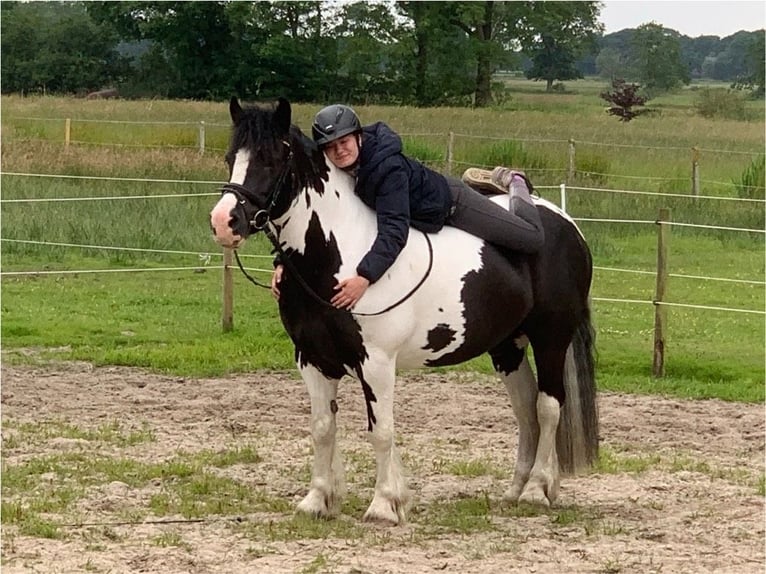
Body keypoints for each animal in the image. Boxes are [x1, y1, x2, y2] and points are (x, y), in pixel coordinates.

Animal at [210, 98, 600, 528]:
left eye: (271, 159)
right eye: (231, 157)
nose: (224, 222)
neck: (346, 253)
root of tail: (566, 225)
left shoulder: (377, 362)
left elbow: (380, 431)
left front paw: (384, 504)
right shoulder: (312, 359)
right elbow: (323, 428)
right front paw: (318, 499)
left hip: (551, 339)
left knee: (548, 407)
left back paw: (537, 490)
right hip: (507, 346)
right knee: (525, 409)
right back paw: (517, 489)